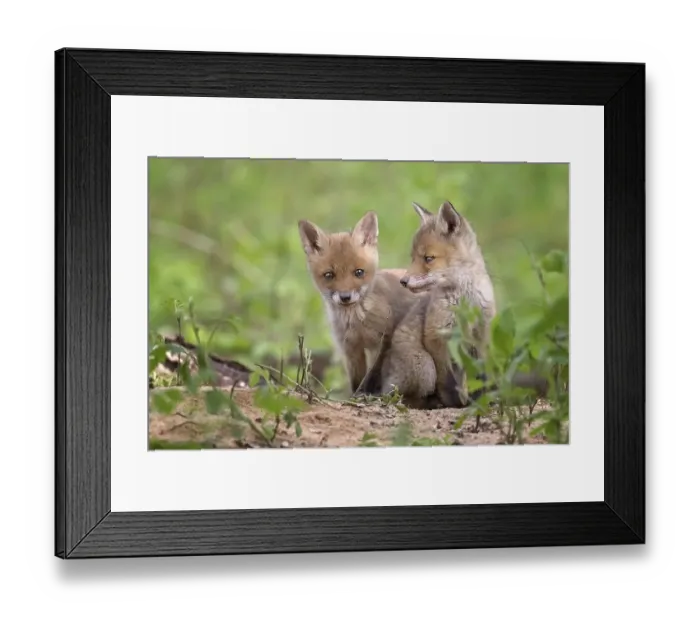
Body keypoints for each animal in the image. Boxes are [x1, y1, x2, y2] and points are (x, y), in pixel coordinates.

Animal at [298, 211, 425, 397]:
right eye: (329, 275)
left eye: (359, 272)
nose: (345, 297)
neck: (355, 323)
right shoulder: (350, 348)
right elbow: (356, 381)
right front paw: (355, 397)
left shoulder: (382, 343)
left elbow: (372, 375)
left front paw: (367, 394)